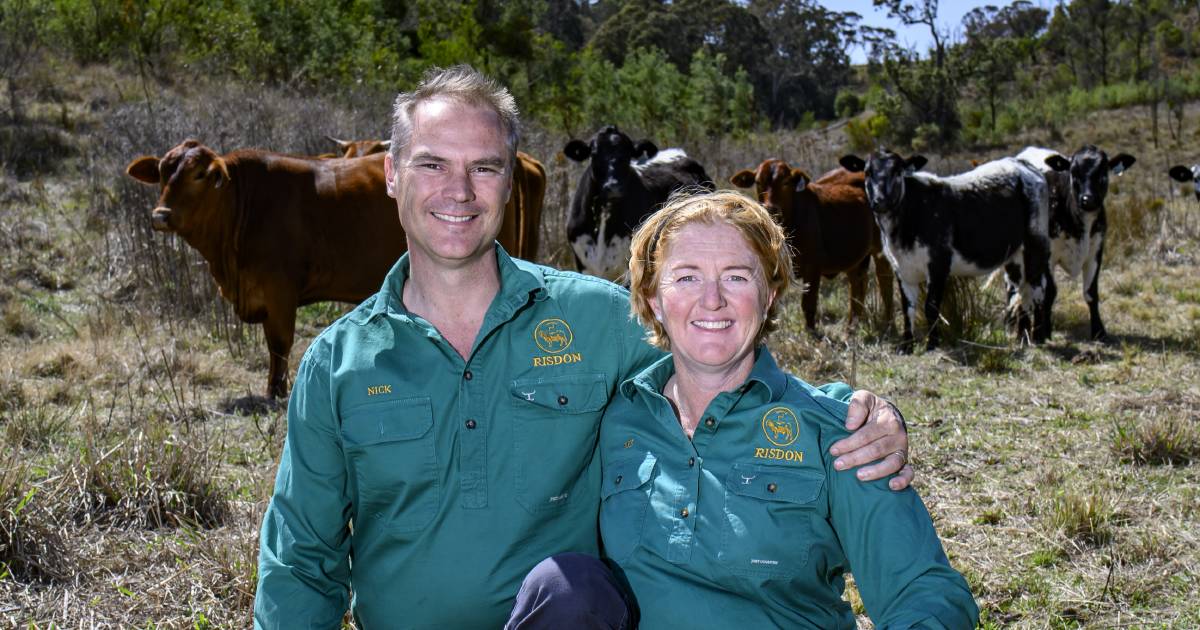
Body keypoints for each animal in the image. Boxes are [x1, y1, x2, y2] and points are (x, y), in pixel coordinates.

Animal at [729, 158, 892, 328]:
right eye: (758, 182)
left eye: (786, 182)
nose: (771, 209)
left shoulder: (813, 268)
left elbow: (808, 304)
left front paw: (811, 331)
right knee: (858, 285)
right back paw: (852, 326)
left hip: (881, 249)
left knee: (885, 282)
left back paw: (889, 324)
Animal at [840, 150, 1056, 350]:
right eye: (867, 172)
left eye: (897, 171)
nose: (880, 200)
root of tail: (1023, 164)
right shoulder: (901, 268)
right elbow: (907, 307)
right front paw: (907, 345)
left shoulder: (938, 263)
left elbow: (931, 306)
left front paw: (932, 344)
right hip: (1015, 255)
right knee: (1022, 290)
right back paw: (1022, 337)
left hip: (1036, 243)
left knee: (1037, 288)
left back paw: (1037, 337)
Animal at [1012, 144, 1132, 338]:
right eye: (1073, 173)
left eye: (1102, 173)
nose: (1088, 199)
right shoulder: (1048, 255)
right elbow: (1049, 293)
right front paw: (1042, 332)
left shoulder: (1096, 251)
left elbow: (1091, 292)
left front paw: (1099, 331)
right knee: (1020, 289)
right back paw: (1024, 329)